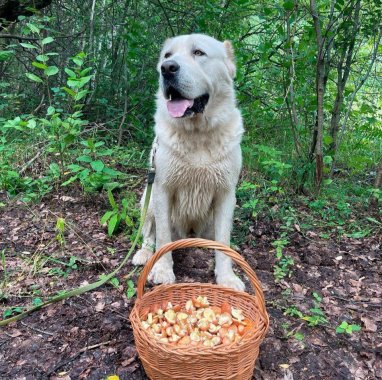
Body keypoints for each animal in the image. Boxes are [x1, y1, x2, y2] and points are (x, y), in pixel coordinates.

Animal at [131, 35, 245, 290]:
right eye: (167, 56)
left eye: (199, 53)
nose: (167, 68)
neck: (198, 134)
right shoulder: (162, 189)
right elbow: (162, 236)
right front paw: (163, 271)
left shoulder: (226, 195)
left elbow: (223, 242)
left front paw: (227, 277)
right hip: (147, 200)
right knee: (148, 234)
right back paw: (144, 254)